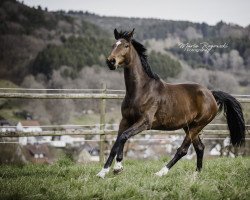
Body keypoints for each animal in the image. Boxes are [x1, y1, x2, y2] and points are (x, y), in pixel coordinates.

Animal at [96, 28, 245, 178]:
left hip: (197, 125)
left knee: (183, 150)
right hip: (189, 126)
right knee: (200, 147)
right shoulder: (125, 120)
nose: (111, 61)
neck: (141, 90)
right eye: (113, 45)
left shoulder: (145, 122)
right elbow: (118, 141)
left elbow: (123, 137)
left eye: (126, 46)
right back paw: (196, 175)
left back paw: (160, 172)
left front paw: (114, 168)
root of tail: (211, 94)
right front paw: (107, 170)